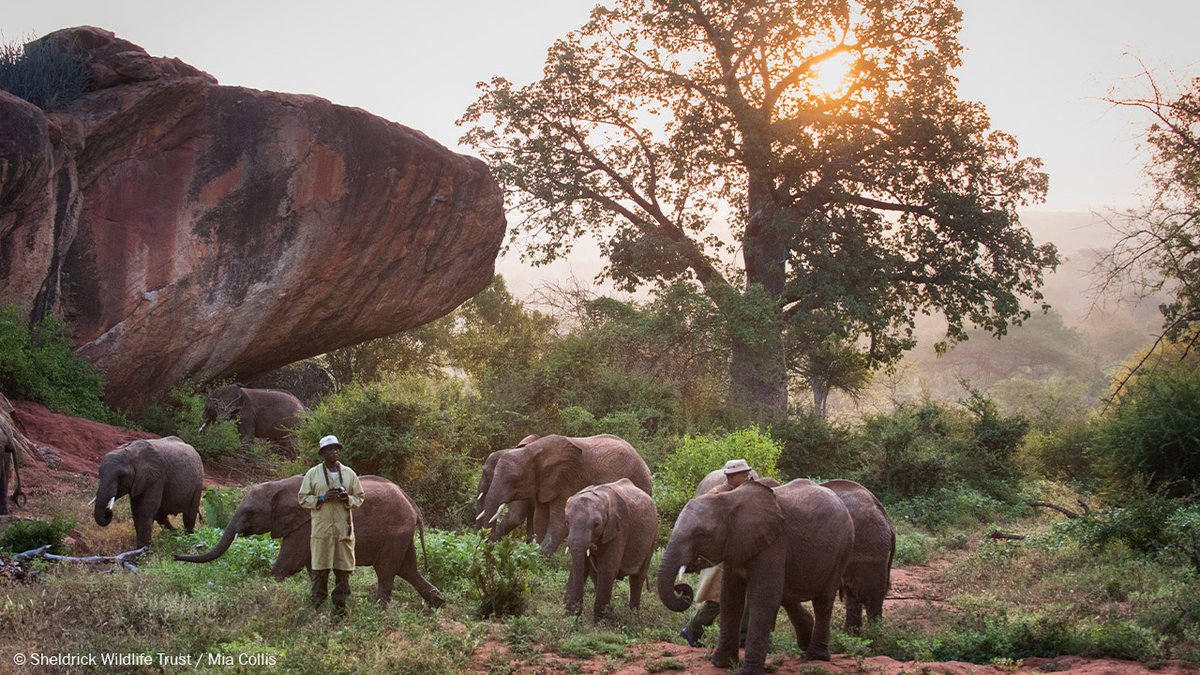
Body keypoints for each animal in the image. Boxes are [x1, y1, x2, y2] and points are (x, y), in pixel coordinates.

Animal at [175, 475, 444, 609]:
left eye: (250, 512)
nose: (176, 556)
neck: (282, 485)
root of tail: (413, 506)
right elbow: (311, 567)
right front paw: (317, 601)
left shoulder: (305, 525)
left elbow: (287, 565)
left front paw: (266, 592)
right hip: (401, 535)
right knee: (408, 569)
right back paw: (438, 604)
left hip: (394, 533)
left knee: (387, 571)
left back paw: (377, 610)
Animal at [476, 434, 653, 556]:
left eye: (514, 479)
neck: (532, 452)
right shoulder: (543, 484)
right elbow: (540, 519)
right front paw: (533, 552)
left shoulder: (567, 480)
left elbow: (558, 522)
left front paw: (538, 557)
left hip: (640, 484)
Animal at [564, 478, 658, 620]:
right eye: (567, 522)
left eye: (596, 524)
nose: (577, 614)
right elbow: (582, 567)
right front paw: (568, 618)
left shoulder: (619, 529)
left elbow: (607, 570)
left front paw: (600, 623)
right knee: (595, 574)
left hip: (652, 537)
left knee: (637, 578)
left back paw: (633, 617)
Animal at [658, 479, 854, 673]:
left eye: (701, 534)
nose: (681, 589)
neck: (728, 499)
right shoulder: (736, 544)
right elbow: (730, 598)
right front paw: (721, 664)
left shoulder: (774, 542)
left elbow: (762, 599)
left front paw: (748, 671)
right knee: (788, 596)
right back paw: (805, 644)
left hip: (843, 550)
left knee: (823, 602)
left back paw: (815, 656)